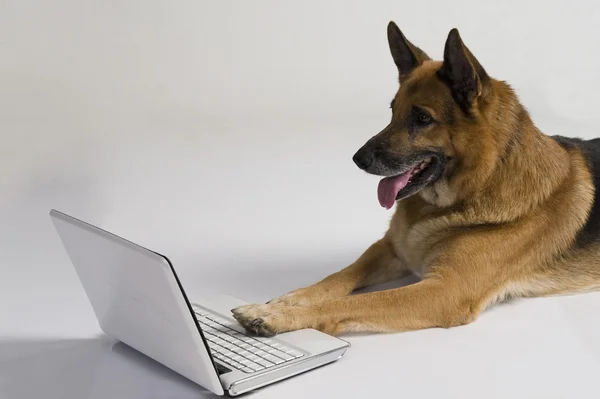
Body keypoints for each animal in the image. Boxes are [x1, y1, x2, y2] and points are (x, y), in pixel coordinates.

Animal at [231, 20, 600, 336]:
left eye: (422, 118)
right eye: (392, 111)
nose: (357, 160)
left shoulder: (442, 291)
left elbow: (352, 302)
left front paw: (276, 316)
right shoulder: (389, 249)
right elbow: (335, 278)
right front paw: (289, 300)